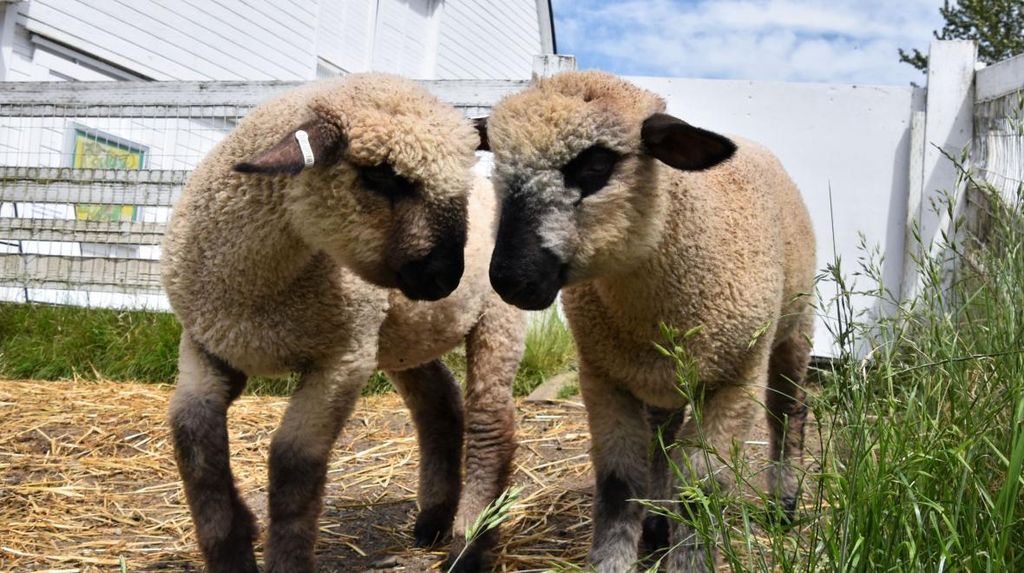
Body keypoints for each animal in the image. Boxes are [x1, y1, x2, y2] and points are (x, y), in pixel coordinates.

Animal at [162, 73, 524, 573]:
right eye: (382, 175)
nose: (446, 276)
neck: (258, 283)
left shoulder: (342, 359)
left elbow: (294, 460)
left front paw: (287, 562)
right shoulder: (206, 345)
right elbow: (193, 439)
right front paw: (233, 546)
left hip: (496, 317)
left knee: (491, 423)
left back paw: (467, 547)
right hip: (403, 336)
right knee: (439, 405)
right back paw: (432, 521)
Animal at [480, 71, 816, 572]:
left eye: (596, 164)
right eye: (499, 161)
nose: (510, 278)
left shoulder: (736, 382)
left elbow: (701, 488)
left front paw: (690, 558)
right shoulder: (603, 377)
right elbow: (618, 482)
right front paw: (614, 558)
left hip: (795, 324)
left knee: (787, 411)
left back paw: (784, 503)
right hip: (662, 375)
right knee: (663, 435)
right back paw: (658, 521)